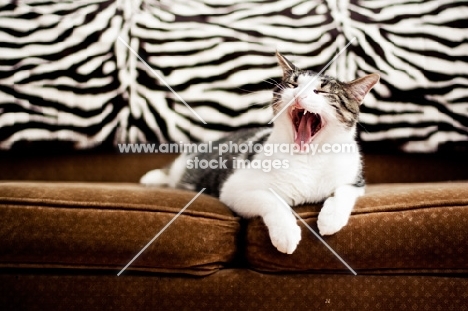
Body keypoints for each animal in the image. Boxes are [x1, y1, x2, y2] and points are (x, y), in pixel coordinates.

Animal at [140, 51, 380, 255]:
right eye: (293, 84)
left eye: (321, 90)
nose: (299, 93)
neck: (308, 157)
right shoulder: (234, 189)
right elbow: (271, 199)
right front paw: (286, 233)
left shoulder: (355, 179)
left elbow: (345, 192)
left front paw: (331, 218)